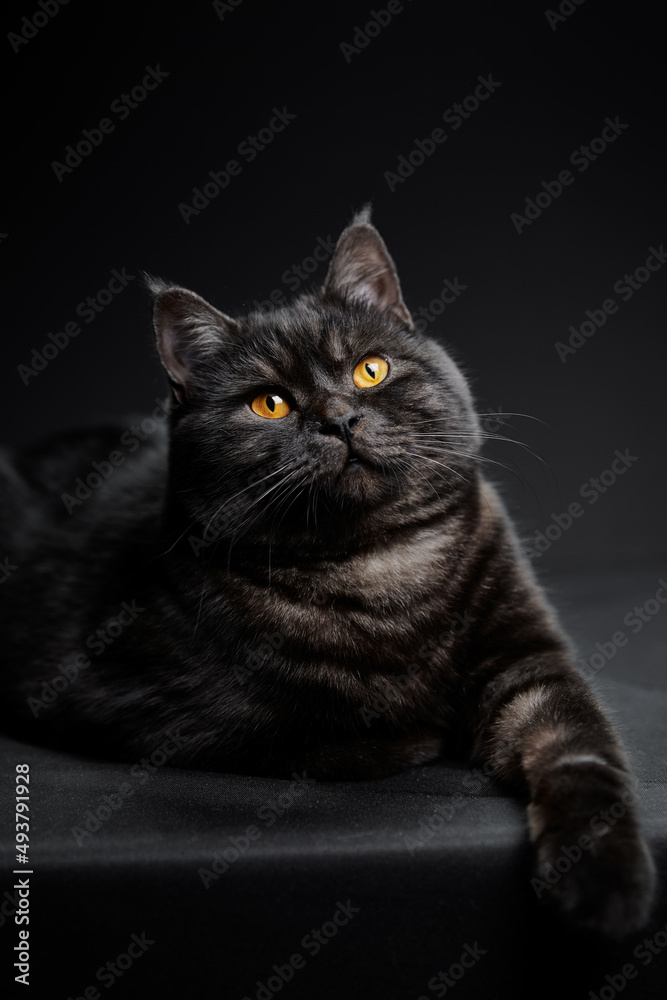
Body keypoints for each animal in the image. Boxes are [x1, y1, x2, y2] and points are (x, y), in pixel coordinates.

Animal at [0, 207, 656, 940]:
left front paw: (603, 884)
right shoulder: (141, 710)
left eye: (370, 370)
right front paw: (423, 728)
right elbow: (331, 727)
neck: (380, 566)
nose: (339, 418)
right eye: (270, 404)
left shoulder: (530, 660)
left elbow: (581, 753)